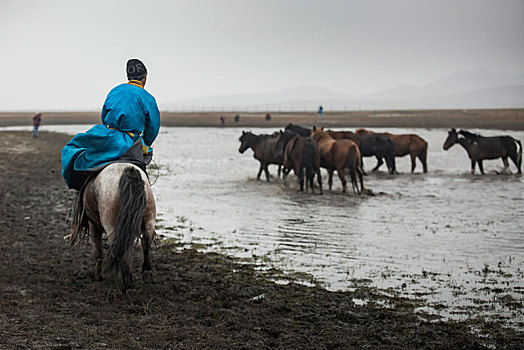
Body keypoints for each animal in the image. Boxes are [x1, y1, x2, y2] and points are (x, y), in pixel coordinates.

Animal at [68, 164, 157, 292]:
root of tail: (128, 172)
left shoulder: (94, 225)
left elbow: (98, 251)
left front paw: (98, 276)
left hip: (111, 226)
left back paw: (125, 283)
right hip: (148, 220)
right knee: (145, 242)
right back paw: (145, 274)